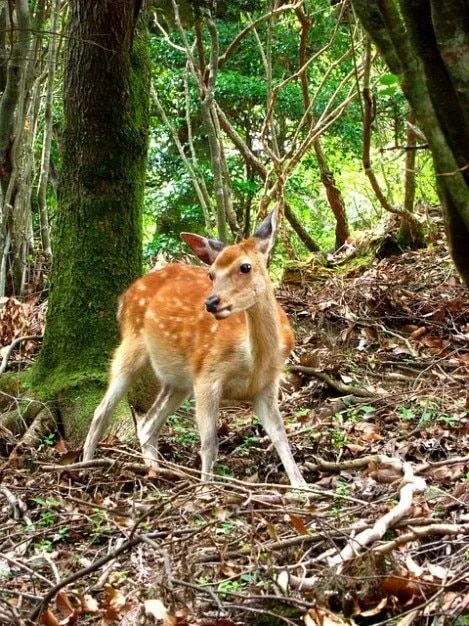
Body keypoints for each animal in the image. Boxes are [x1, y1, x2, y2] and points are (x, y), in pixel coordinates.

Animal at [82, 207, 306, 486]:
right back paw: (84, 465)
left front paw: (301, 486)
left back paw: (155, 471)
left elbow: (280, 435)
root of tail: (124, 297)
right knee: (102, 410)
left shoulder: (266, 384)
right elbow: (209, 443)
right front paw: (206, 488)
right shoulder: (207, 375)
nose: (211, 302)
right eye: (211, 273)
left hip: (178, 379)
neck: (255, 359)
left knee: (147, 424)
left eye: (245, 266)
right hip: (132, 346)